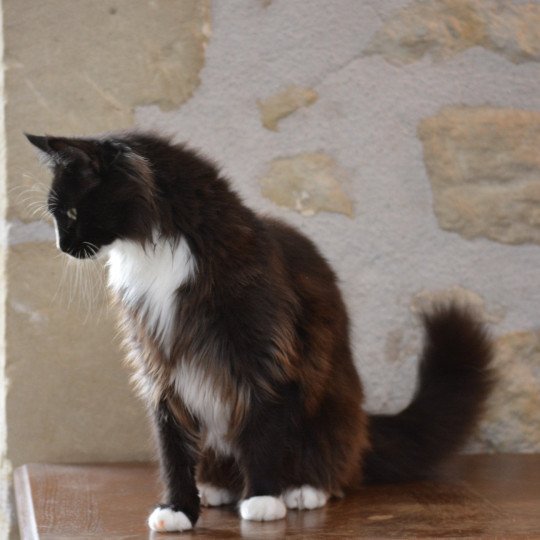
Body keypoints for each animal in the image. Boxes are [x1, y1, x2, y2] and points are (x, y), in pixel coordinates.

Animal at [27, 132, 496, 532]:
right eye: (57, 217)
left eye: (70, 213)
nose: (62, 246)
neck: (158, 255)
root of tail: (365, 425)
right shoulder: (160, 366)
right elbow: (171, 446)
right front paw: (179, 507)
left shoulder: (267, 355)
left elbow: (263, 428)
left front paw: (265, 498)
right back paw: (216, 486)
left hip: (329, 407)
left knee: (334, 462)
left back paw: (304, 488)